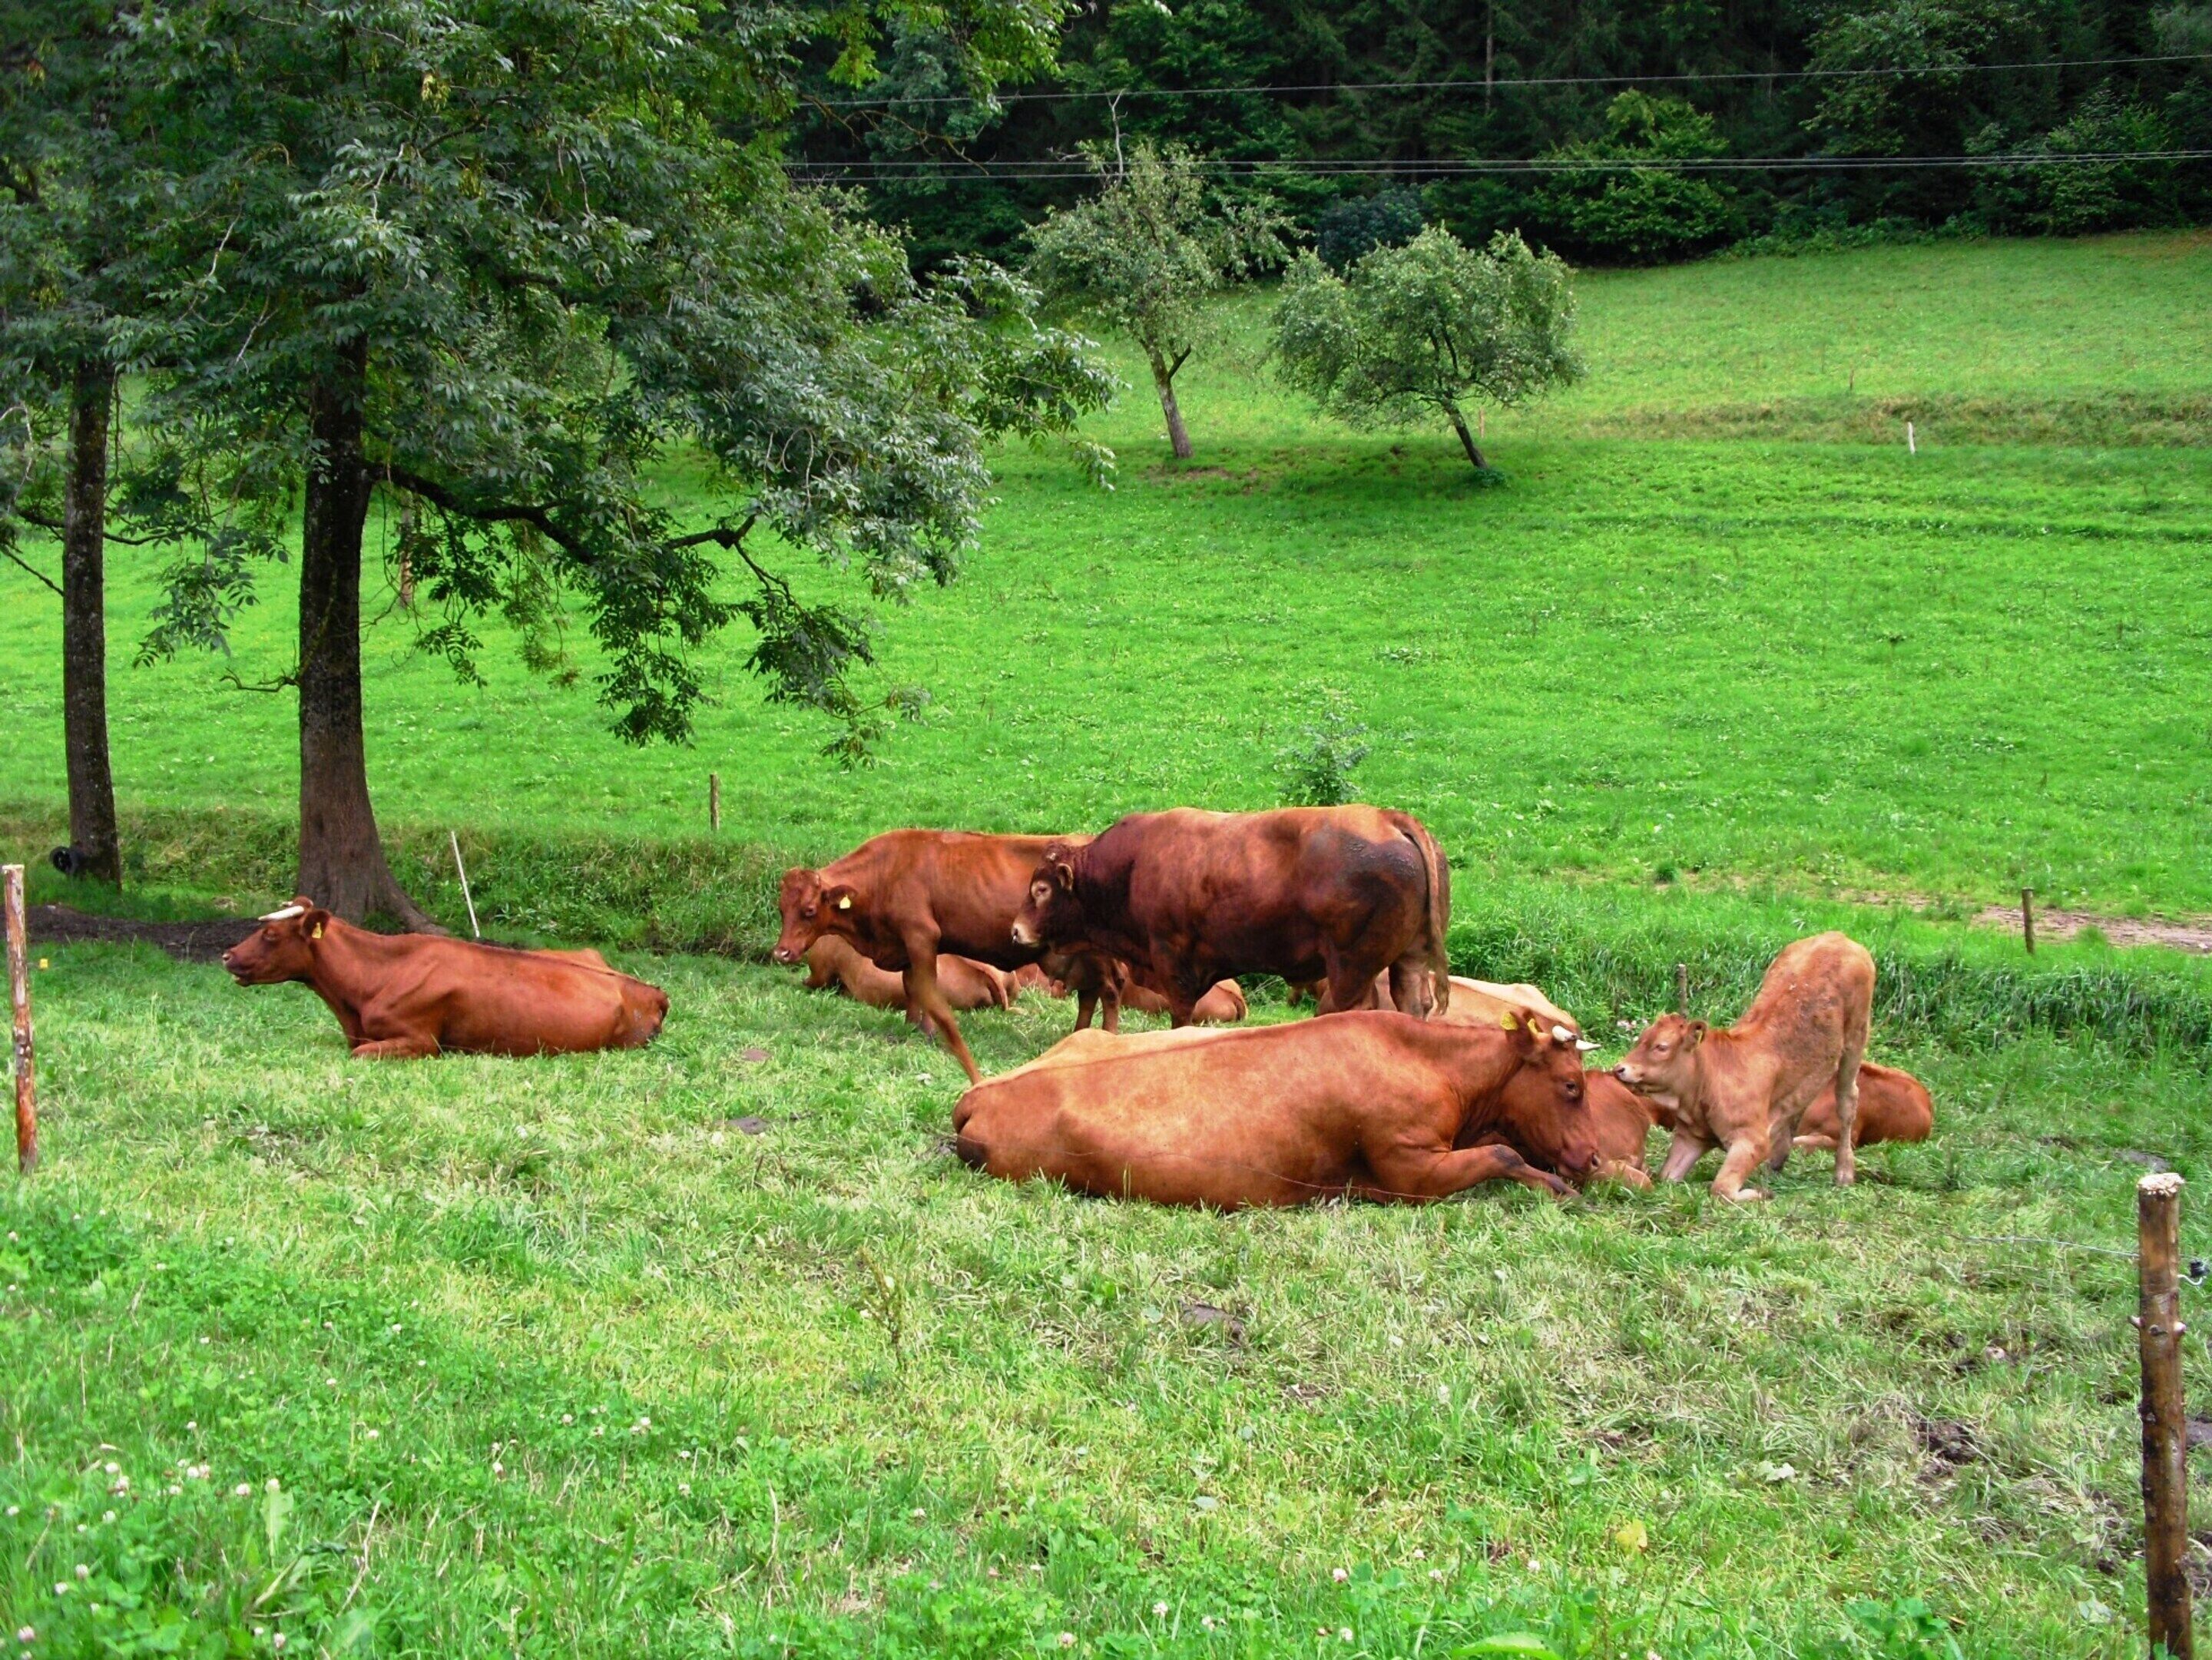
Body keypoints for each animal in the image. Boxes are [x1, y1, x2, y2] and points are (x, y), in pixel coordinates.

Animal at [772, 831, 1117, 1085]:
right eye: (781, 908)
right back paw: (1081, 1035)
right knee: (1090, 994)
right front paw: (914, 1026)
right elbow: (911, 987)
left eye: (809, 910)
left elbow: (927, 990)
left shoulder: (921, 937)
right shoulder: (905, 946)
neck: (886, 871)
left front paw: (926, 1030)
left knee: (1111, 990)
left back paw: (1109, 1036)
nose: (781, 952)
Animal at [951, 1006, 1597, 1208]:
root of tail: (981, 1091)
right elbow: (1503, 1152)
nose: (1593, 1158)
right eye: (1572, 1085)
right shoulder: (1407, 1166)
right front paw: (1557, 1186)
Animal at [1010, 806, 1451, 1024]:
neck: (1131, 868)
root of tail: (1388, 818)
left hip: (1350, 969)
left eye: (1041, 889)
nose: (1015, 930)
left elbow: (1181, 1017)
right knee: (1413, 1004)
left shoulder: (1174, 966)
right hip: (1408, 959)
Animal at [1612, 932, 1875, 1201]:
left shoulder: (1752, 1140)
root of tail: (1837, 937)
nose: (1620, 1068)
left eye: (1661, 1047)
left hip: (1855, 1039)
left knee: (1847, 1100)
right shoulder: (1691, 1136)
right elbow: (1666, 1176)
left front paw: (1760, 1193)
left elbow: (1721, 1189)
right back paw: (1777, 1163)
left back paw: (1844, 1171)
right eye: (1641, 1039)